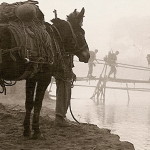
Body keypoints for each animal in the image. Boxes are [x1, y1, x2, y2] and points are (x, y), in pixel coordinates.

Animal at [0, 4, 89, 139]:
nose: (88, 55)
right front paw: (37, 131)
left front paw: (26, 131)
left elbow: (29, 103)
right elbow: (38, 104)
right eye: (81, 33)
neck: (54, 40)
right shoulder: (44, 78)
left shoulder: (31, 77)